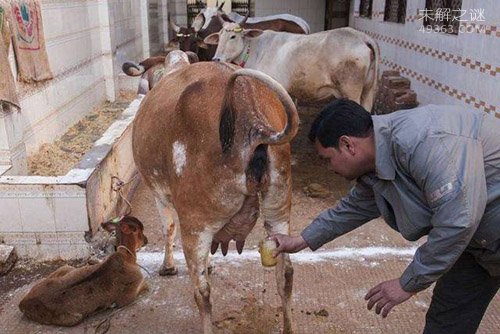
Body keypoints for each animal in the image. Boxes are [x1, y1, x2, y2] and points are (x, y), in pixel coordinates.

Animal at [19, 217, 148, 326]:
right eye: (139, 230)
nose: (146, 240)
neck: (127, 258)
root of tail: (22, 303)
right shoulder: (127, 295)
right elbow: (144, 286)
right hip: (74, 319)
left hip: (64, 268)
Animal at [131, 56, 298, 332]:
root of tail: (252, 122)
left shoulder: (160, 195)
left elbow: (167, 228)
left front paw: (168, 266)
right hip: (279, 211)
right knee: (285, 274)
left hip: (195, 224)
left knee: (203, 292)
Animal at [205, 22, 376, 111]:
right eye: (219, 36)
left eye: (233, 36)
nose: (216, 58)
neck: (255, 49)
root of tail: (361, 36)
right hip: (368, 91)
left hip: (351, 89)